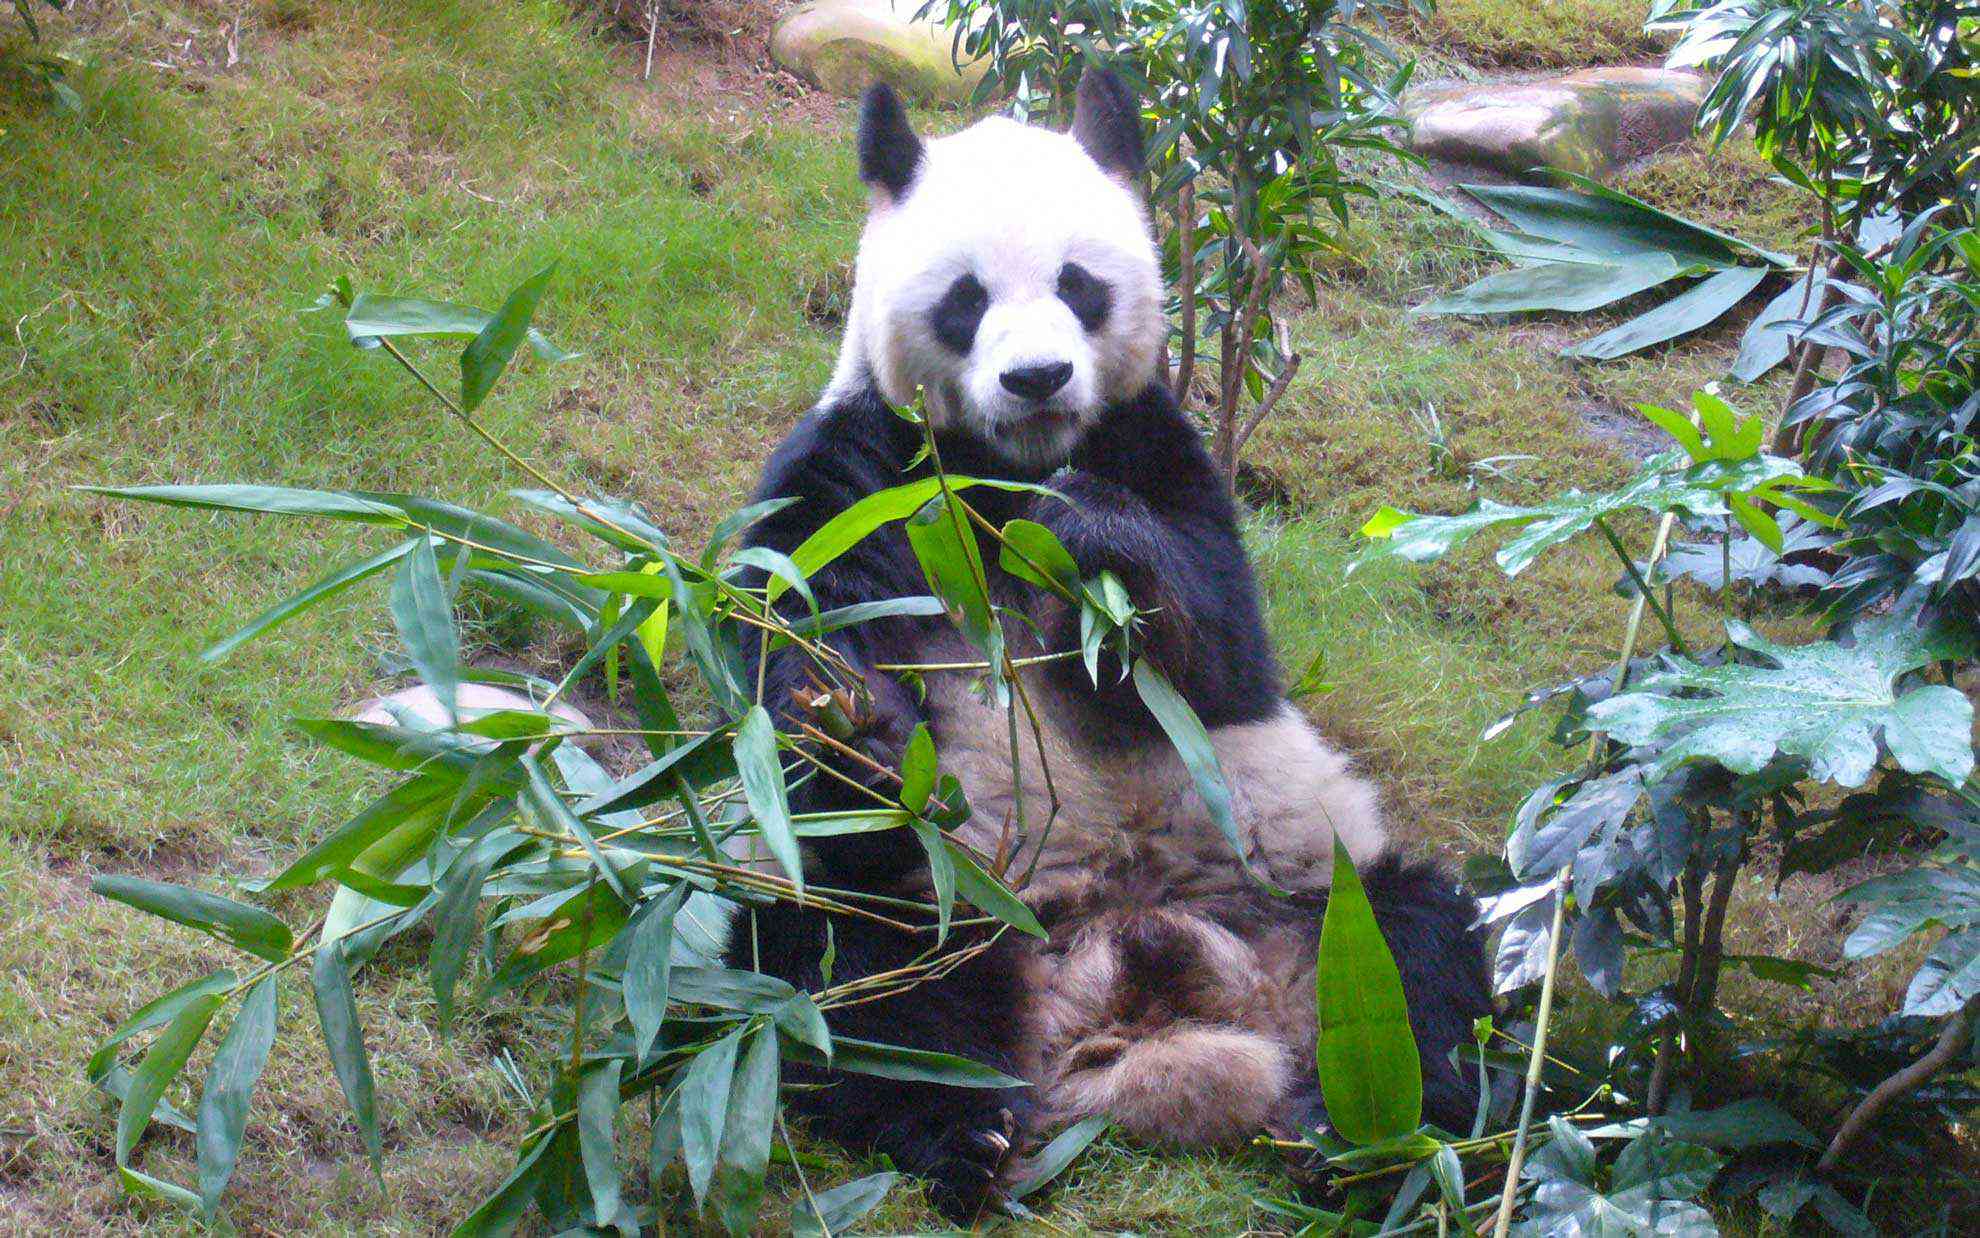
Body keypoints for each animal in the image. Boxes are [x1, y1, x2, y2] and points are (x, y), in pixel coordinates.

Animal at [736, 69, 1488, 1220]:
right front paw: (851, 717)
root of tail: (1129, 1010)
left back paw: (1356, 1136)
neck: (1002, 468)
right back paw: (969, 1133)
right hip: (941, 895)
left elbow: (1223, 650)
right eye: (966, 299)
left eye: (1078, 283)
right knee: (843, 973)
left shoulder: (1156, 444)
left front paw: (1093, 539)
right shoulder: (860, 469)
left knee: (1422, 962)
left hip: (1313, 895)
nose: (1039, 378)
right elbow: (787, 634)